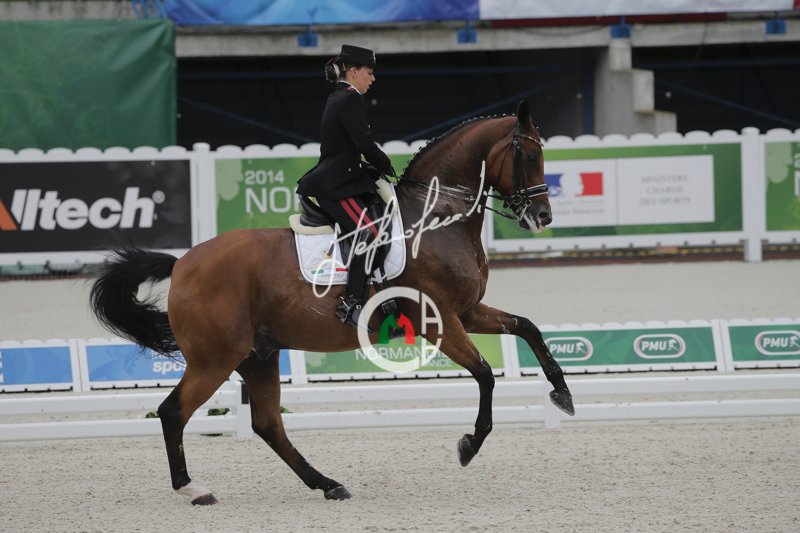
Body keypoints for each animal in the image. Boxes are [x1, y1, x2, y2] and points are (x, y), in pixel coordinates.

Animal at [89, 100, 574, 506]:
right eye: (529, 156)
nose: (542, 218)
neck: (437, 219)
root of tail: (183, 263)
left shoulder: (467, 313)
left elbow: (528, 326)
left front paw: (563, 394)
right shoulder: (439, 320)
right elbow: (486, 374)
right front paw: (469, 445)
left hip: (257, 355)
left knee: (268, 424)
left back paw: (327, 484)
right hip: (216, 358)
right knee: (174, 412)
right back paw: (193, 489)